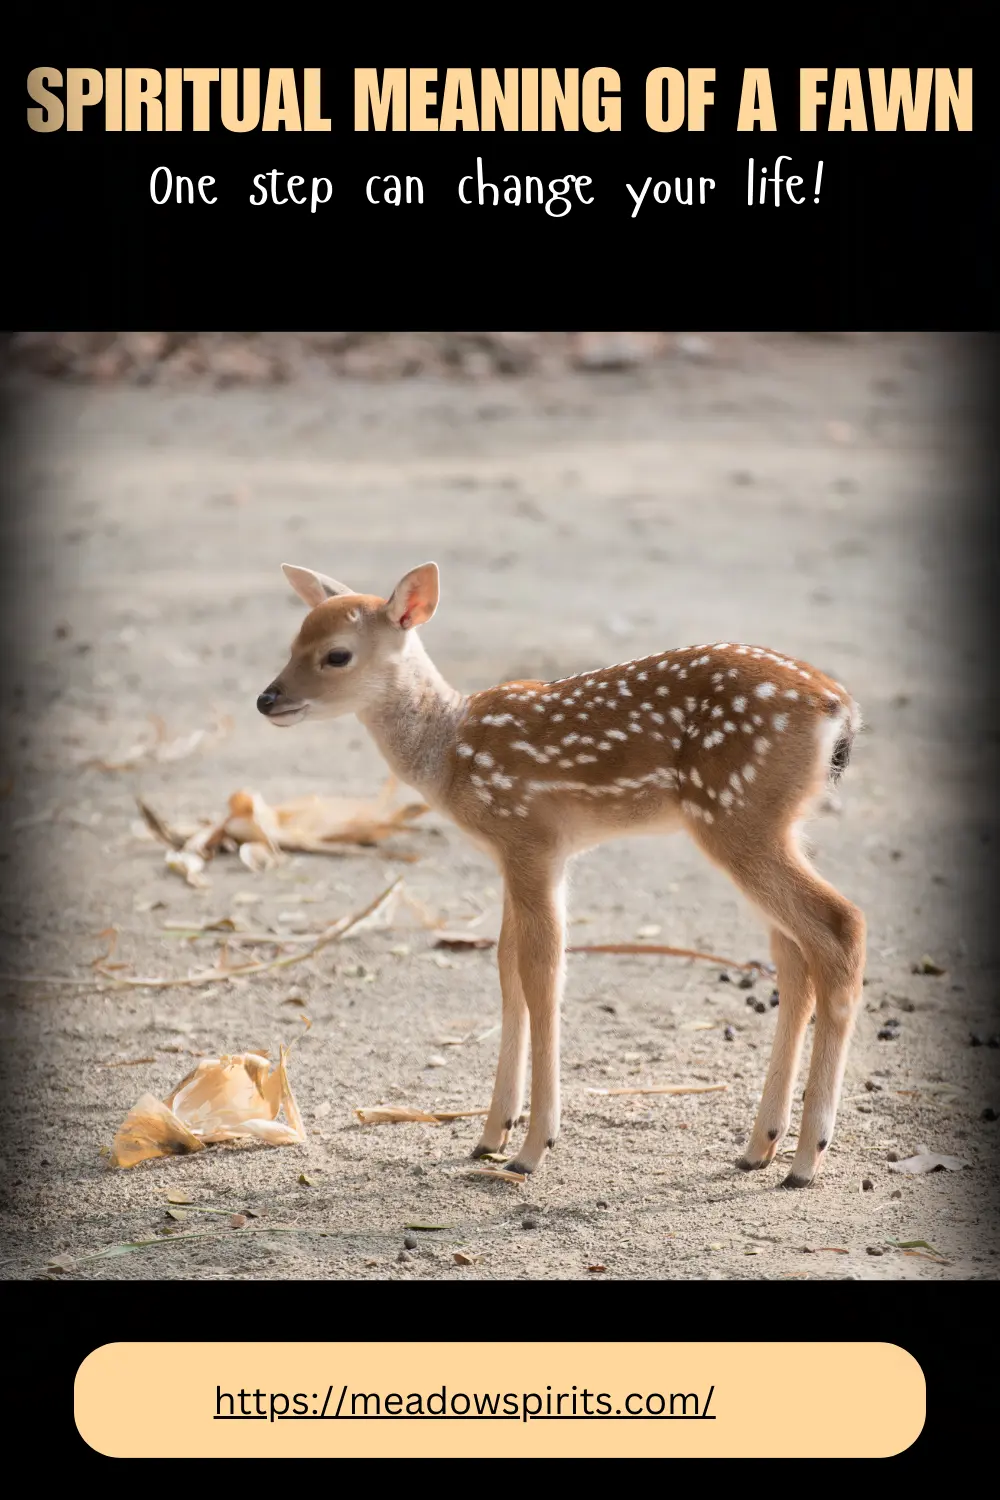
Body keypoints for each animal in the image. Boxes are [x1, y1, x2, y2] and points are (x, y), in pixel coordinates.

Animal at [259, 561, 866, 1187]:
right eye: (294, 640)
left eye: (336, 654)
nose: (266, 699)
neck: (449, 748)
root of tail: (840, 709)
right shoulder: (511, 855)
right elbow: (507, 967)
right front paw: (490, 1134)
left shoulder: (533, 840)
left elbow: (542, 972)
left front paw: (532, 1149)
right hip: (775, 824)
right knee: (795, 954)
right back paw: (759, 1147)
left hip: (737, 816)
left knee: (840, 925)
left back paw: (805, 1159)